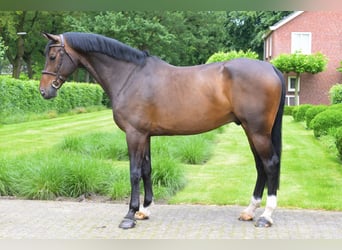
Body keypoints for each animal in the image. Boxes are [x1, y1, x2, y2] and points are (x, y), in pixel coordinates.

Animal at [39, 32, 286, 229]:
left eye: (53, 56)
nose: (43, 91)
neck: (129, 76)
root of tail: (271, 67)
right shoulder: (145, 135)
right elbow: (147, 170)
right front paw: (145, 210)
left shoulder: (134, 134)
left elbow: (134, 172)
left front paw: (129, 215)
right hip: (251, 130)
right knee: (261, 166)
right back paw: (249, 211)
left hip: (257, 131)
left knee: (270, 164)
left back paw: (266, 216)